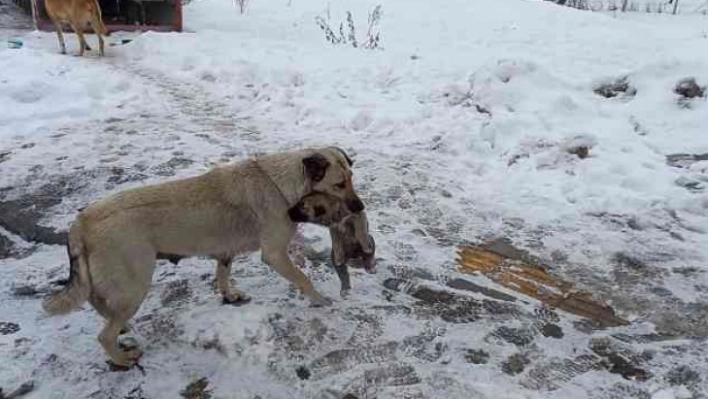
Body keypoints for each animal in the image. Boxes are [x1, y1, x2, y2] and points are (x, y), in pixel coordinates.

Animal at [42, 148, 366, 368]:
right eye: (339, 184)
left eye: (351, 178)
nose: (360, 207)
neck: (281, 184)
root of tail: (80, 223)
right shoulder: (275, 255)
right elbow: (303, 278)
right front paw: (319, 299)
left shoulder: (225, 252)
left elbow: (223, 274)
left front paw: (229, 295)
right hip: (135, 285)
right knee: (104, 335)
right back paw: (122, 358)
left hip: (119, 285)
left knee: (97, 301)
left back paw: (119, 325)